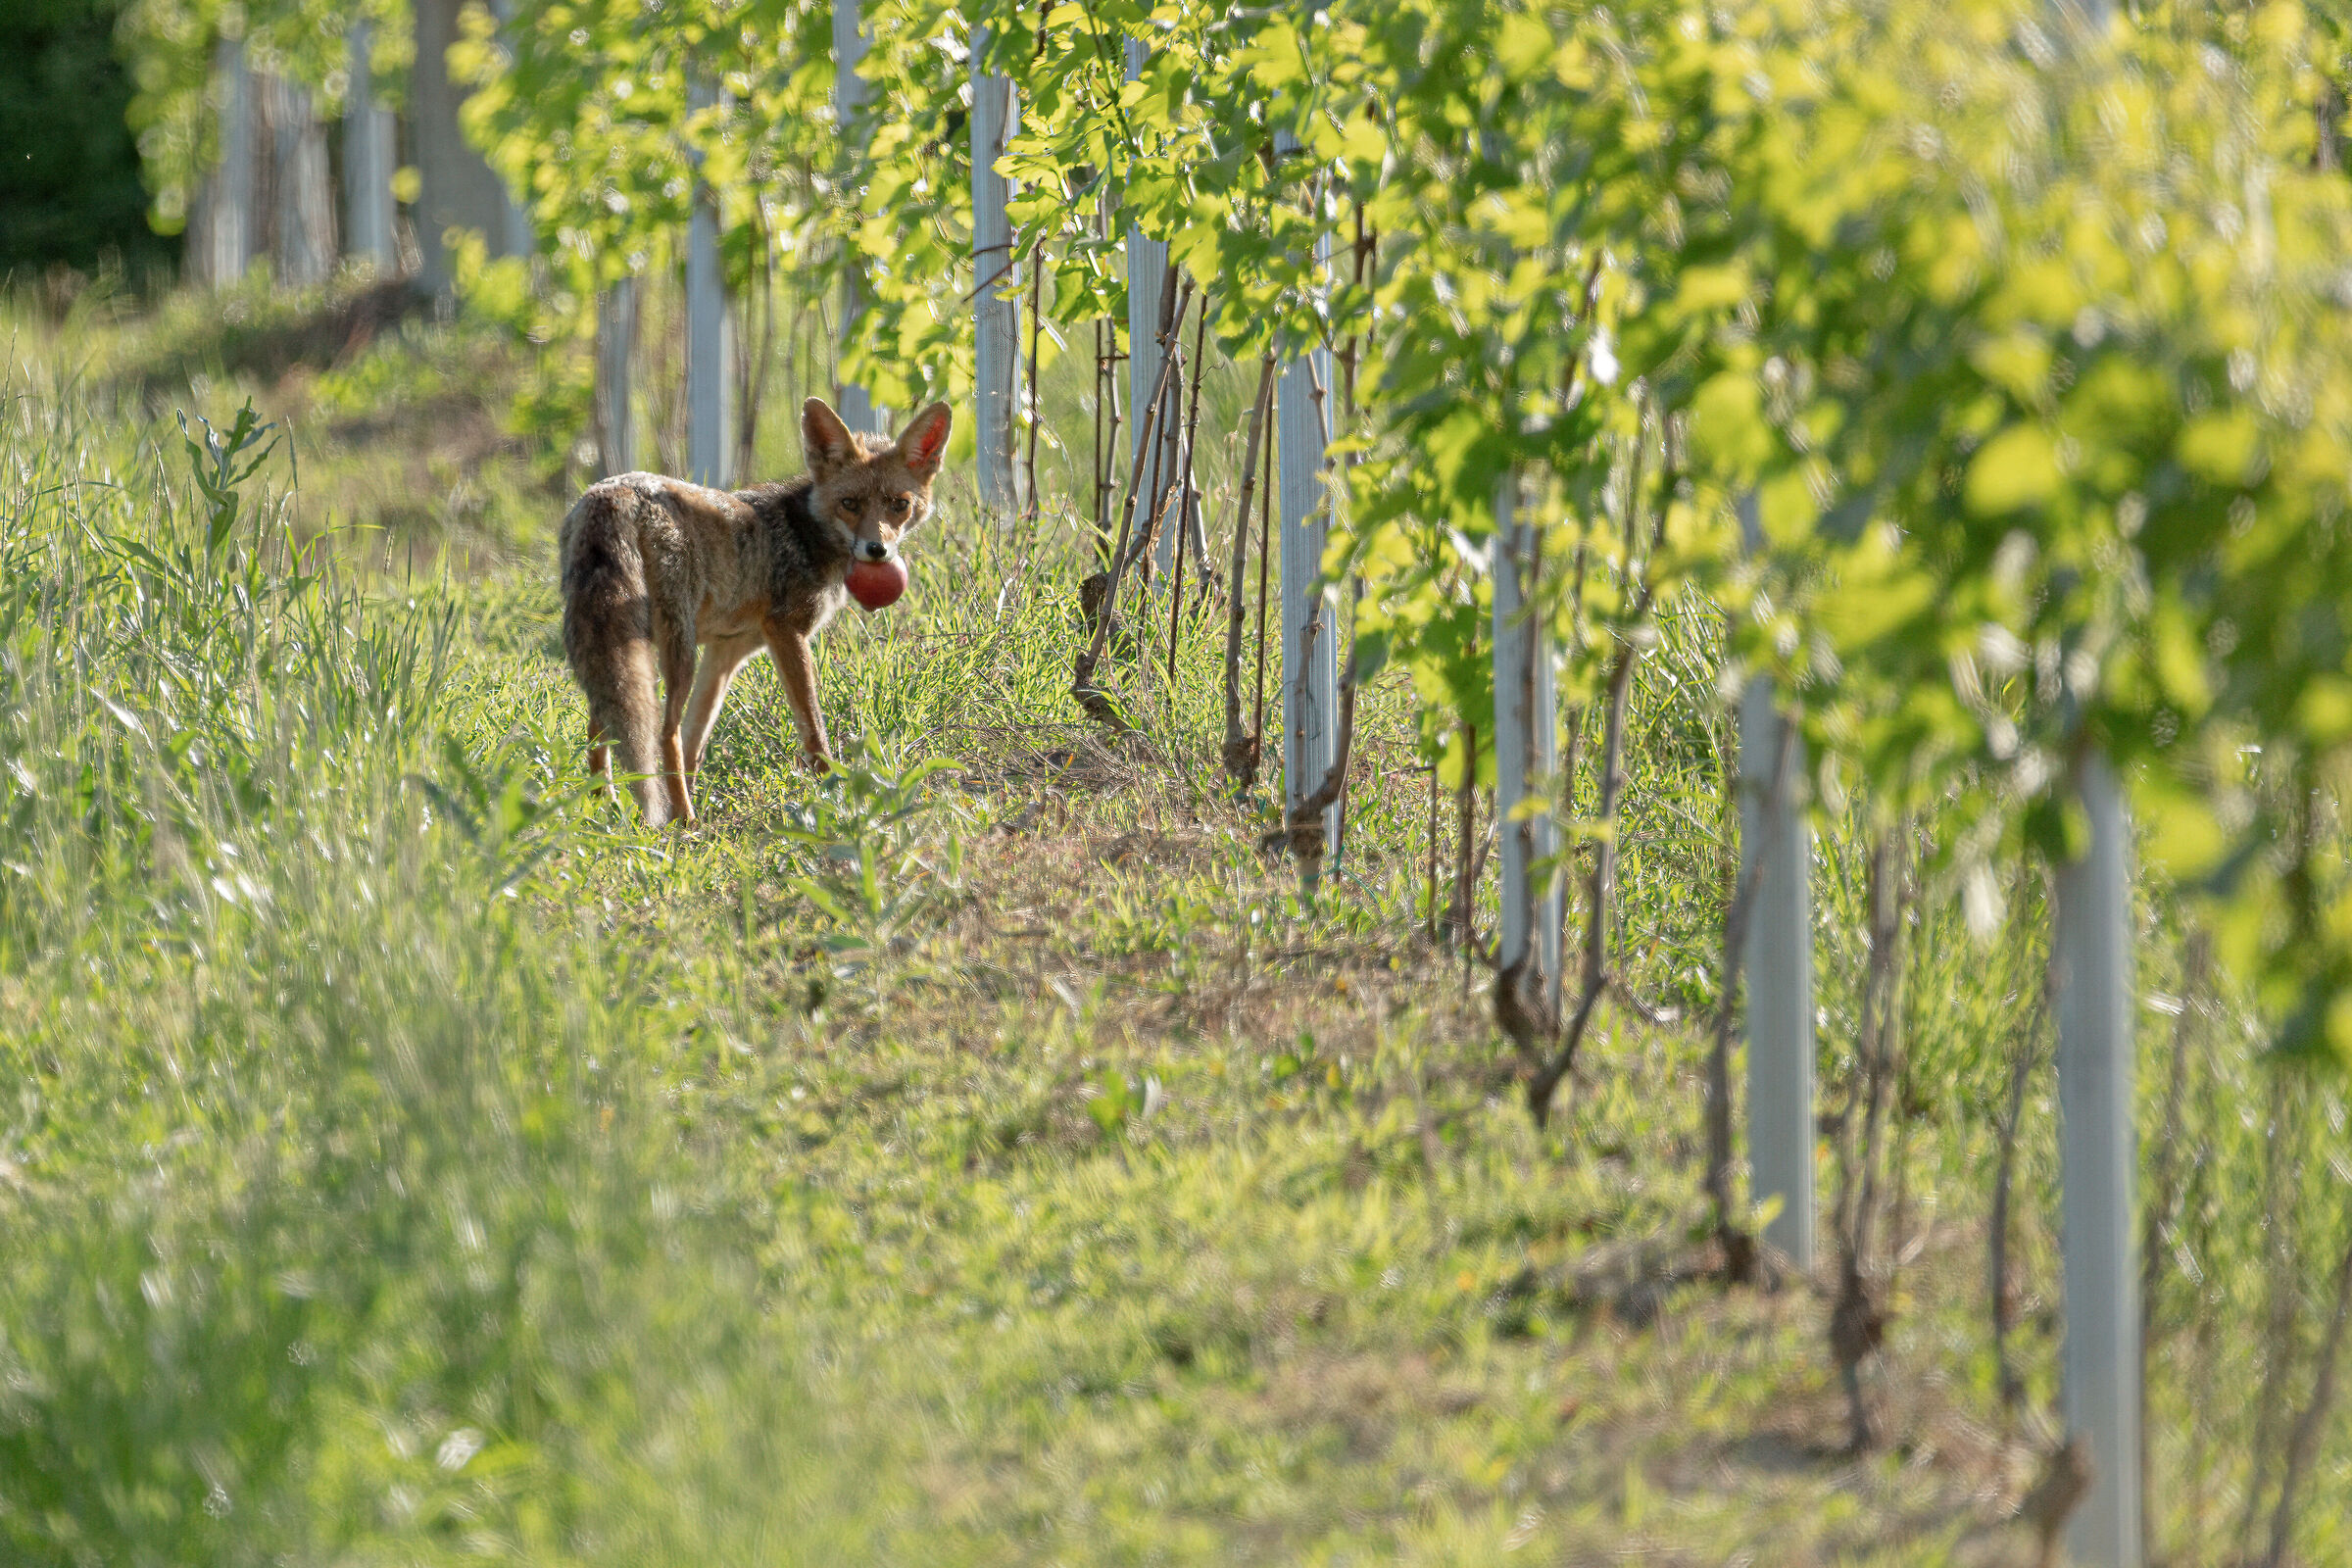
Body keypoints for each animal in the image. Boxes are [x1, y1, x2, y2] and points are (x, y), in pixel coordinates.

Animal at [558, 396, 953, 825]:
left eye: (900, 505)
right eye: (850, 504)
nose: (876, 550)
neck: (804, 533)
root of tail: (613, 489)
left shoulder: (727, 651)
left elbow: (696, 744)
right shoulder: (786, 631)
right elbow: (812, 730)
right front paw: (838, 795)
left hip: (619, 648)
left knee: (602, 729)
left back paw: (606, 810)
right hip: (676, 649)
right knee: (663, 734)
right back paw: (684, 822)